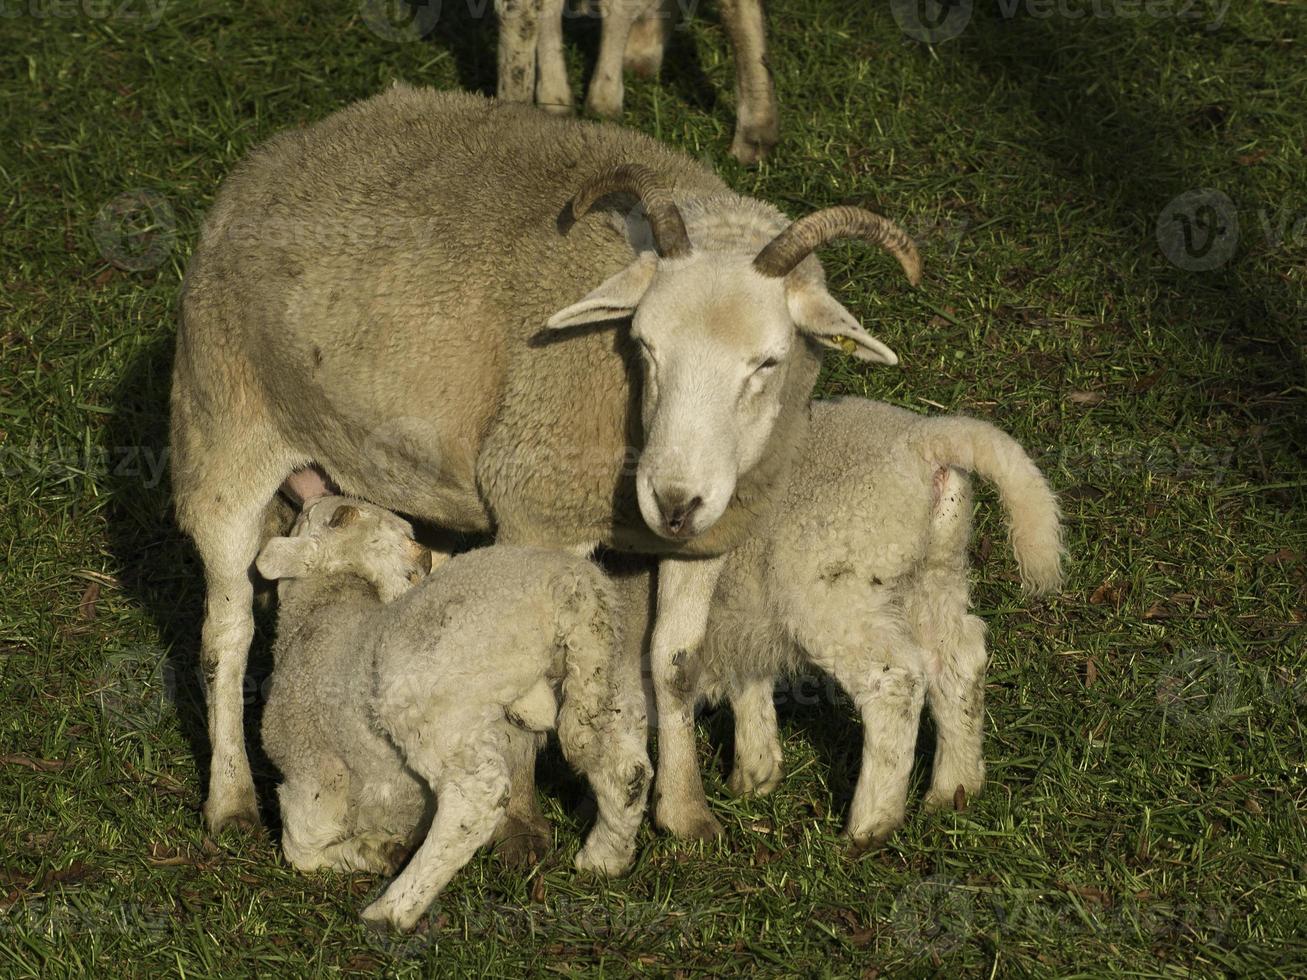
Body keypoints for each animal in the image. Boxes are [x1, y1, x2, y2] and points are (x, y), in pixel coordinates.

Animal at [173, 84, 925, 846]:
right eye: (644, 345)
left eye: (768, 362)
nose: (673, 501)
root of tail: (280, 150)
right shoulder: (538, 512)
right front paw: (519, 822)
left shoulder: (711, 534)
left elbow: (675, 664)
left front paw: (685, 814)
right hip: (221, 432)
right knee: (225, 636)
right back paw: (230, 798)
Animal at [253, 499, 648, 935]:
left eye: (335, 517)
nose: (308, 503)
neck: (325, 605)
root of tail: (567, 585)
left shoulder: (313, 769)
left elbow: (301, 845)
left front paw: (373, 853)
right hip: (601, 666)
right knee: (622, 766)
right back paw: (604, 857)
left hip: (432, 706)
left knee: (476, 797)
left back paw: (393, 910)